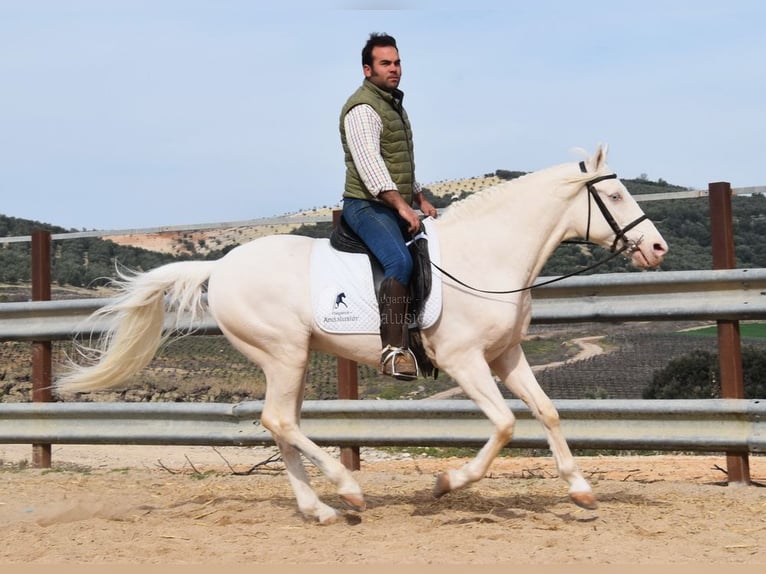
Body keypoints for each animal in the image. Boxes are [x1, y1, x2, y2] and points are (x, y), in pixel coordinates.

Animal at [57, 145, 664, 528]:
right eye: (614, 197)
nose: (656, 249)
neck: (487, 258)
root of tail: (221, 267)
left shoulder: (506, 355)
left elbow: (548, 413)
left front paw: (581, 490)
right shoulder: (466, 360)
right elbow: (505, 425)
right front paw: (447, 483)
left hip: (292, 359)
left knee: (281, 425)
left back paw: (319, 510)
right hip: (284, 353)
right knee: (280, 421)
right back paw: (346, 492)